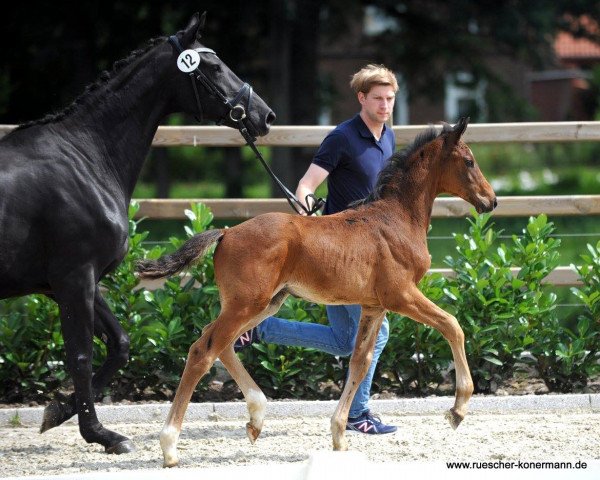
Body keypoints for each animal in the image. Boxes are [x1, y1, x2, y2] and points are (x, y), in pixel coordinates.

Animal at [0, 12, 276, 454]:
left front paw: (57, 410)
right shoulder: (74, 279)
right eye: (214, 66)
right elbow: (81, 356)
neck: (85, 157)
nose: (264, 116)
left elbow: (120, 345)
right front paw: (101, 434)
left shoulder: (74, 283)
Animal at [137, 118, 496, 466]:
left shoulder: (373, 306)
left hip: (264, 303)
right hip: (247, 304)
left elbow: (360, 361)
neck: (396, 219)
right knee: (202, 351)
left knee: (219, 343)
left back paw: (256, 418)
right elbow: (453, 325)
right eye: (469, 161)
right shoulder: (401, 295)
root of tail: (227, 232)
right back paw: (170, 447)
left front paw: (339, 435)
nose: (491, 200)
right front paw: (458, 409)